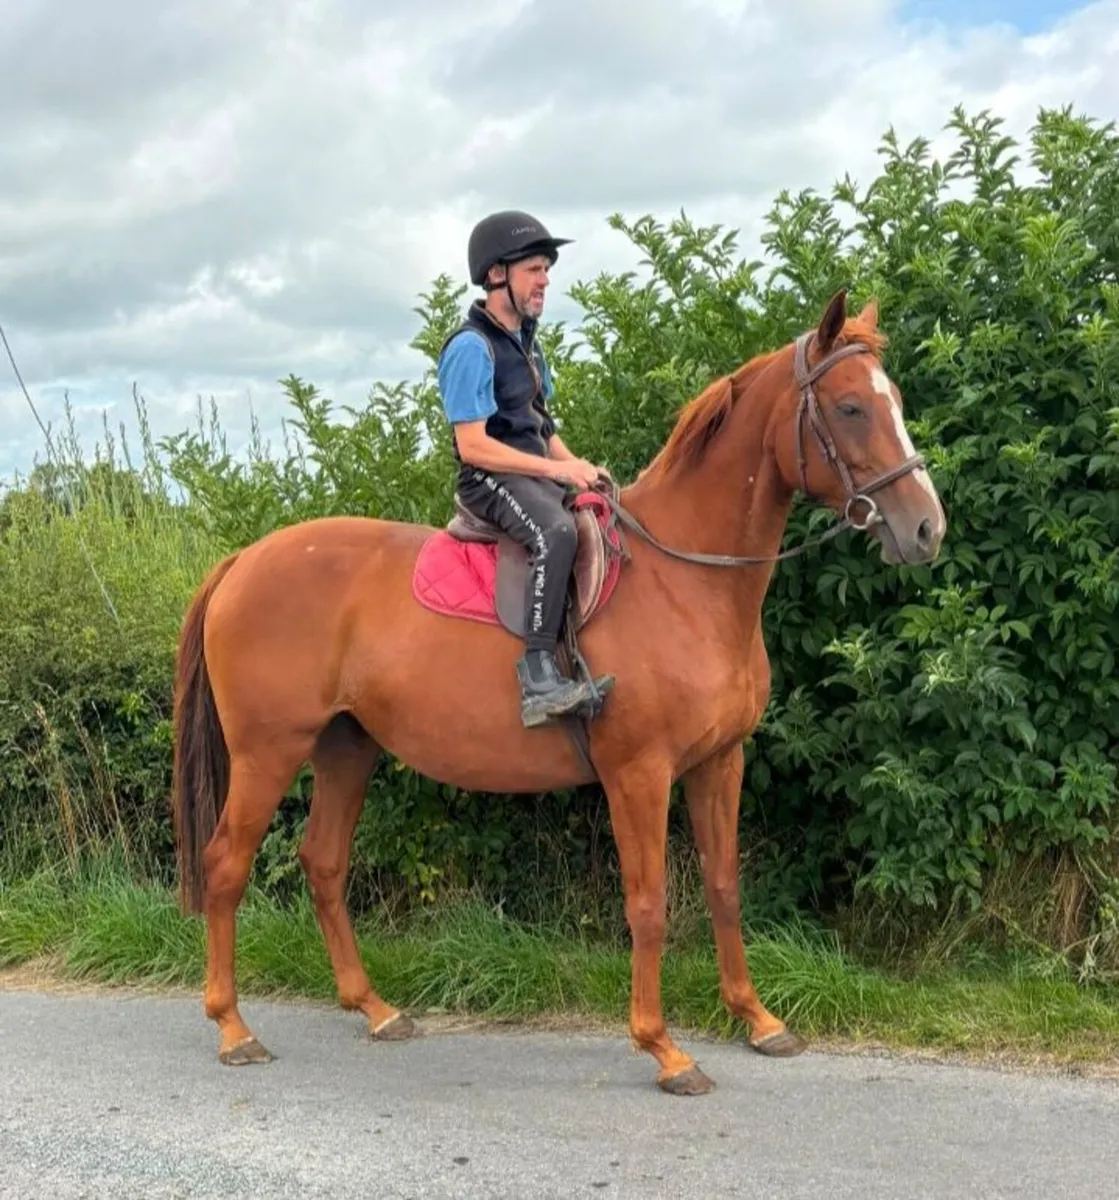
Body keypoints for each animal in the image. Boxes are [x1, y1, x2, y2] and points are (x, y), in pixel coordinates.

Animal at [171, 289, 946, 1095]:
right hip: (268, 751)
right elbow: (649, 904)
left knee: (323, 863)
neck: (685, 580)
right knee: (224, 866)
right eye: (851, 407)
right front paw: (664, 1049)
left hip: (345, 748)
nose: (926, 528)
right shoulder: (638, 774)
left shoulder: (718, 762)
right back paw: (233, 1028)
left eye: (892, 401)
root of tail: (243, 561)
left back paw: (376, 1010)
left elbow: (724, 886)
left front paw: (758, 1021)